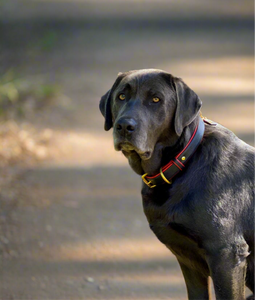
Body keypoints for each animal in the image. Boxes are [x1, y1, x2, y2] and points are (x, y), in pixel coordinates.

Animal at [99, 69, 255, 298]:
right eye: (121, 96)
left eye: (156, 99)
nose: (124, 126)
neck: (183, 161)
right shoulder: (188, 259)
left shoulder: (227, 254)